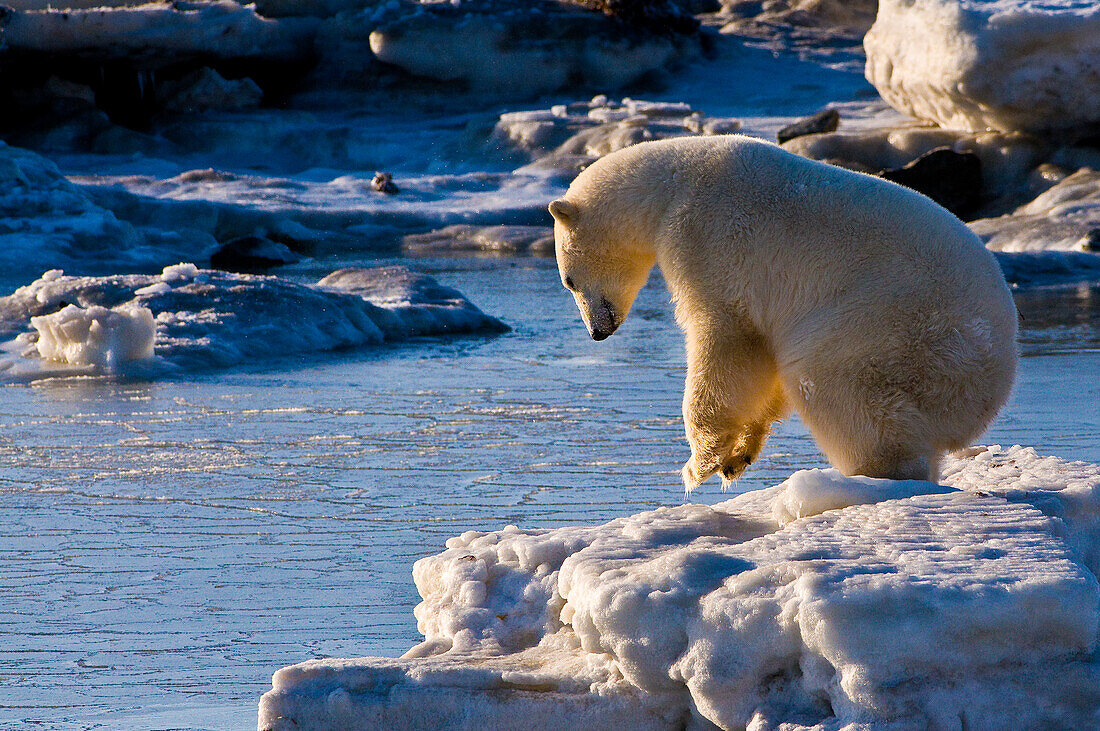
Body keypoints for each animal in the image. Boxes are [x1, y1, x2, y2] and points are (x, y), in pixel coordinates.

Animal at [554, 136, 1016, 490]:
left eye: (568, 281)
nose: (597, 332)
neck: (672, 185)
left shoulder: (704, 237)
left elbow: (725, 339)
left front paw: (697, 467)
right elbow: (761, 359)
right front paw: (737, 458)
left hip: (897, 324)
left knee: (833, 382)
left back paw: (871, 476)